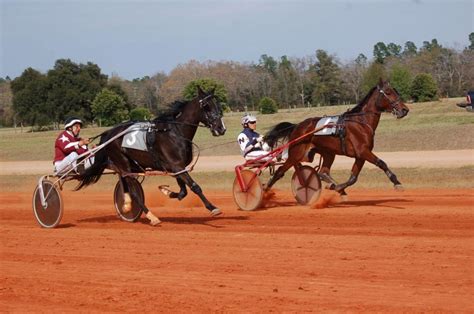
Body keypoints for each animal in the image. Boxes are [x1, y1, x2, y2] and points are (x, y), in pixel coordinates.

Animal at [75, 87, 226, 224]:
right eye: (206, 106)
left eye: (218, 106)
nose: (221, 128)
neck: (175, 132)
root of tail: (109, 133)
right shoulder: (176, 166)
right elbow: (194, 187)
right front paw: (213, 208)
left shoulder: (177, 168)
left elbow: (183, 191)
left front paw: (166, 191)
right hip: (123, 162)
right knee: (133, 191)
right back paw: (151, 217)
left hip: (130, 165)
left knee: (123, 180)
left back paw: (127, 204)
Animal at [264, 78, 410, 196]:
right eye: (388, 92)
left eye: (395, 91)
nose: (405, 110)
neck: (361, 122)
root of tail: (297, 126)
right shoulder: (363, 151)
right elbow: (381, 163)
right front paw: (397, 182)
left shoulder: (360, 155)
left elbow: (353, 178)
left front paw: (339, 188)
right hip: (296, 153)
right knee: (280, 171)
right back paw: (265, 191)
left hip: (328, 153)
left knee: (323, 172)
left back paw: (333, 185)